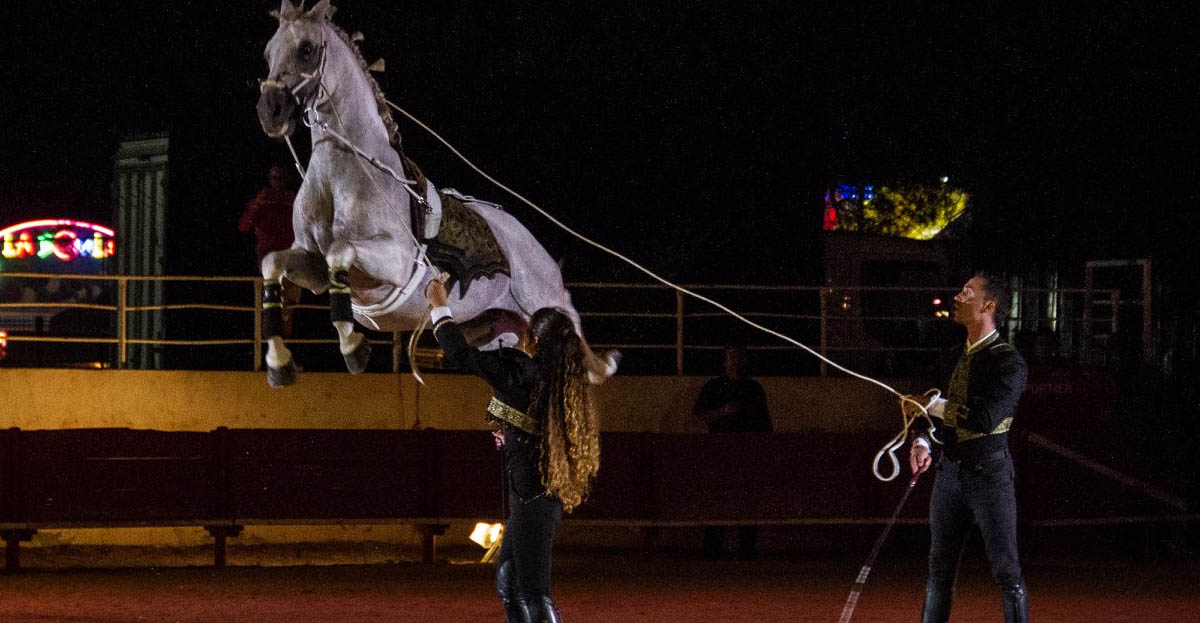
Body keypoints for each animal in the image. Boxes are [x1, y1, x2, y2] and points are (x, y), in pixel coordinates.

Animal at [254, 0, 619, 386]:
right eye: (268, 52)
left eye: (307, 49)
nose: (270, 111)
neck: (343, 177)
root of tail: (543, 258)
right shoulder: (312, 264)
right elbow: (272, 262)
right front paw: (279, 362)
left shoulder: (395, 261)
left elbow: (340, 250)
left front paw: (353, 346)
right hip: (499, 331)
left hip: (547, 310)